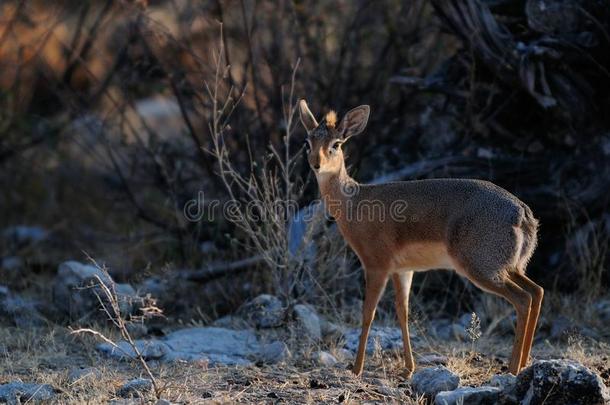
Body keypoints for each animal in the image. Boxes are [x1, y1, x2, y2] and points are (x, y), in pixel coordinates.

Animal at [300, 100, 540, 376]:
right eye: (308, 141)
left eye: (336, 144)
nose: (315, 164)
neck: (354, 203)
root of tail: (522, 213)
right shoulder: (403, 270)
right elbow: (403, 312)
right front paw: (408, 368)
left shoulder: (376, 266)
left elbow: (368, 313)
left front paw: (357, 369)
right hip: (510, 268)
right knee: (537, 292)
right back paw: (524, 363)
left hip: (483, 269)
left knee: (523, 299)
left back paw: (513, 368)